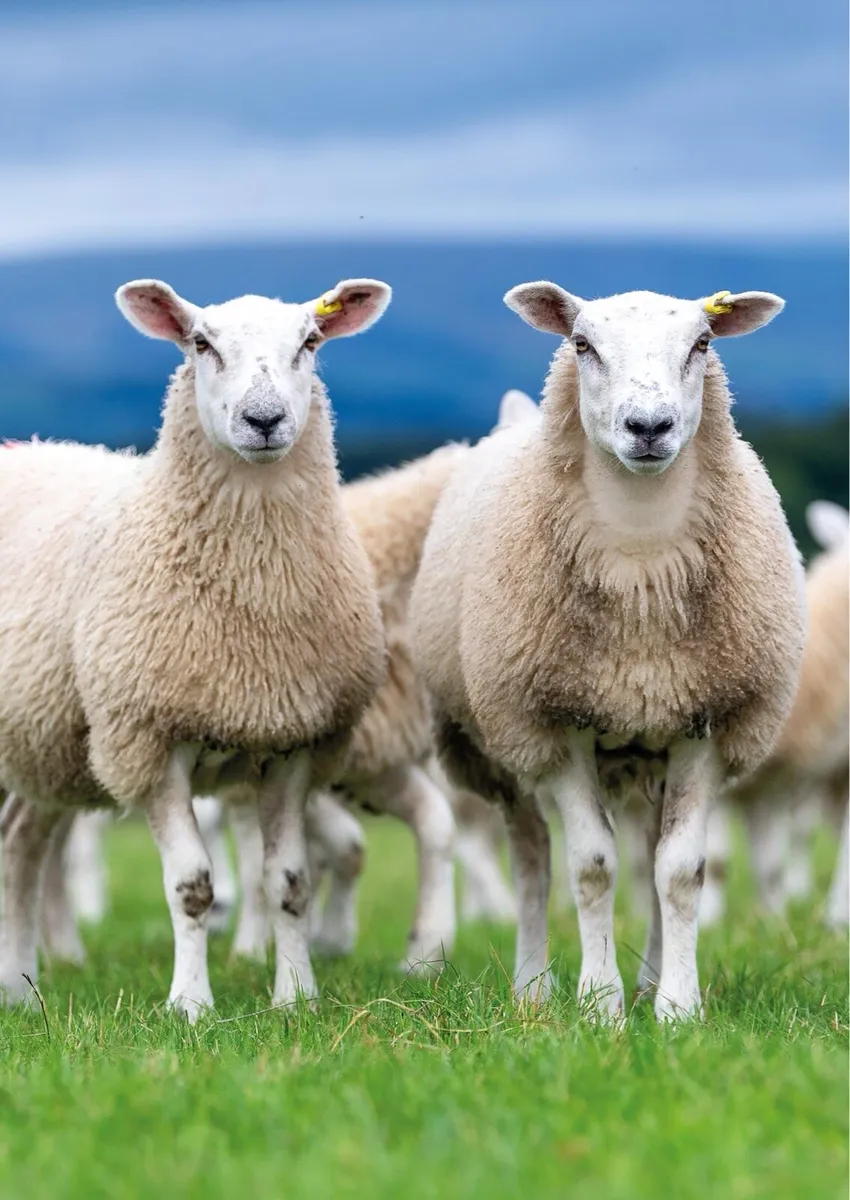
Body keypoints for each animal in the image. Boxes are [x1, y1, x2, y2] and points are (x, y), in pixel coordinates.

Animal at [0, 277, 390, 1019]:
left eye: (310, 342)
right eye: (201, 344)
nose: (264, 419)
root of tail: (25, 446)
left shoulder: (295, 737)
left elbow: (290, 881)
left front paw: (295, 997)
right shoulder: (150, 739)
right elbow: (192, 887)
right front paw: (190, 1005)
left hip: (43, 741)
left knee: (21, 847)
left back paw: (22, 988)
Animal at [410, 284, 805, 1021]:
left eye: (702, 344)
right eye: (582, 344)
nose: (648, 427)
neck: (642, 565)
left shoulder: (704, 721)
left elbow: (679, 871)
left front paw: (677, 1009)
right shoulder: (558, 723)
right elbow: (591, 866)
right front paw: (600, 1006)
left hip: (650, 744)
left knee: (650, 855)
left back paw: (649, 978)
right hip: (503, 746)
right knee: (532, 858)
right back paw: (533, 988)